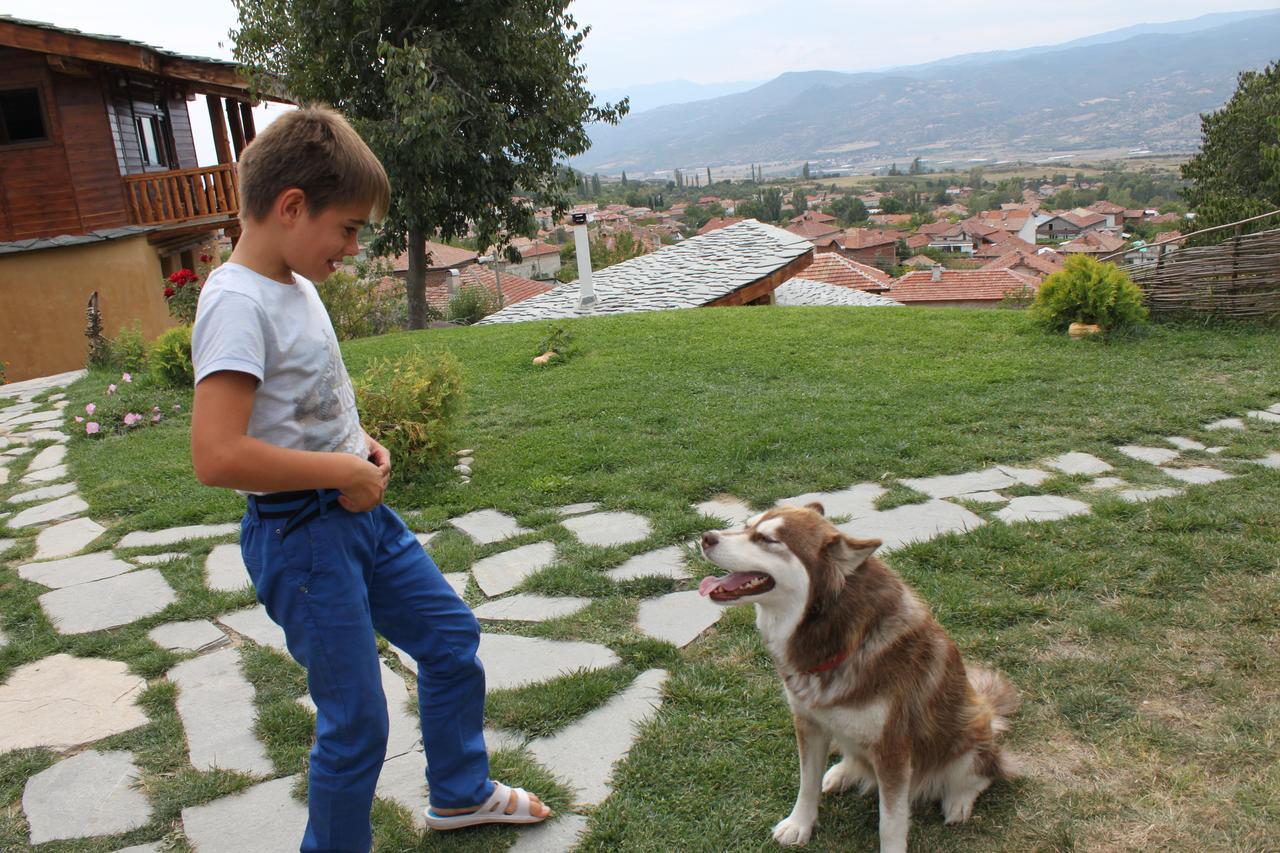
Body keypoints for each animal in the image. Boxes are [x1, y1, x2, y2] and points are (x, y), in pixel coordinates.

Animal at [701, 502, 1018, 845]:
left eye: (767, 539)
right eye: (747, 526)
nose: (705, 537)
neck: (838, 639)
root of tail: (987, 710)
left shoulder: (893, 749)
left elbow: (890, 822)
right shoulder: (808, 722)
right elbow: (807, 784)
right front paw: (800, 824)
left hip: (968, 736)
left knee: (983, 774)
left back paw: (958, 801)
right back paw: (843, 772)